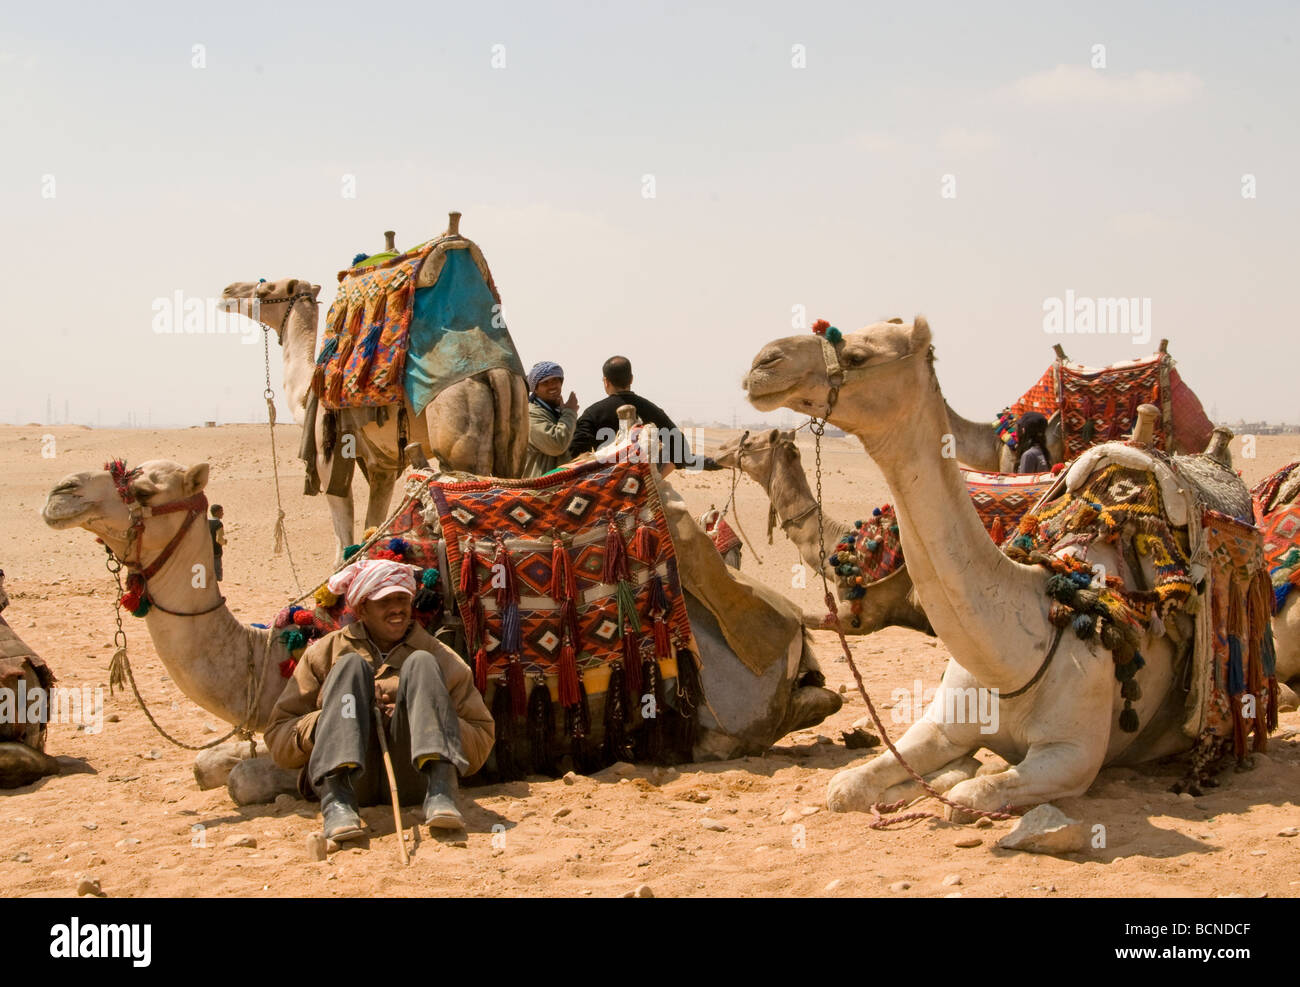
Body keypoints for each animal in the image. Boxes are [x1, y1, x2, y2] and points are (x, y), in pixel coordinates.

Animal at [40, 457, 842, 795]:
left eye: (147, 487)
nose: (59, 492)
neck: (271, 658)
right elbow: (209, 764)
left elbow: (240, 781)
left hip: (721, 716)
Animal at [748, 318, 1253, 816]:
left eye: (857, 355)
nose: (763, 362)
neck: (1016, 656)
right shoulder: (942, 725)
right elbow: (845, 787)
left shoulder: (1072, 756)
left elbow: (967, 796)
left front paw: (951, 783)